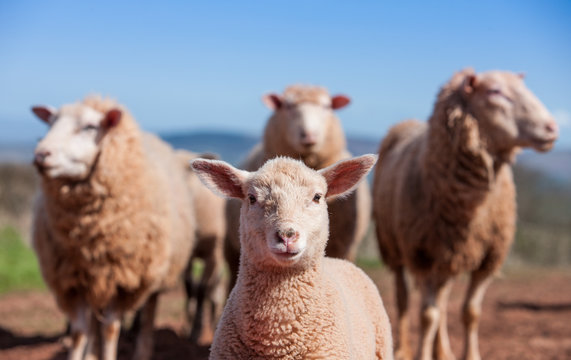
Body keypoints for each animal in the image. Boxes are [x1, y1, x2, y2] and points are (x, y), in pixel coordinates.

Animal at [31, 96, 197, 360]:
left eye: (90, 127)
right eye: (50, 123)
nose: (41, 154)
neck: (88, 233)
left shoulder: (122, 280)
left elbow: (110, 328)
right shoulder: (75, 278)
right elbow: (79, 332)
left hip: (154, 271)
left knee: (148, 313)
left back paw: (142, 351)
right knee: (93, 323)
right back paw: (92, 354)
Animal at [175, 150, 227, 346]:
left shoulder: (213, 255)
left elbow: (202, 290)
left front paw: (196, 331)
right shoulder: (188, 256)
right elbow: (190, 286)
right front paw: (188, 325)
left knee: (214, 290)